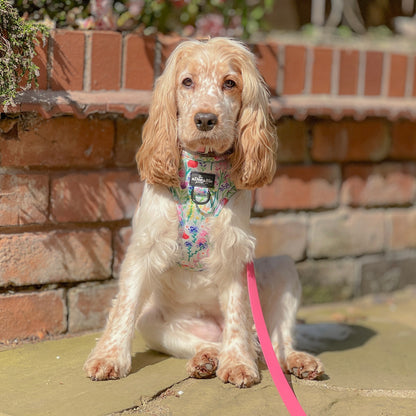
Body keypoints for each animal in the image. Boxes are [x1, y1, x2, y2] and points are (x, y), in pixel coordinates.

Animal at [83, 37, 322, 388]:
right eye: (187, 82)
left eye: (230, 83)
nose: (206, 119)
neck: (203, 173)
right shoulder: (144, 248)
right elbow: (124, 307)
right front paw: (108, 358)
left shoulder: (234, 252)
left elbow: (236, 313)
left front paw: (238, 364)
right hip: (153, 323)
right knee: (205, 341)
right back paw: (205, 359)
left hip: (283, 268)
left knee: (276, 343)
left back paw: (296, 360)